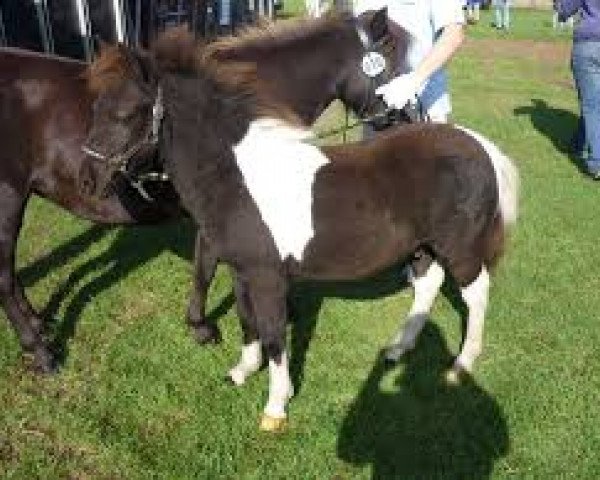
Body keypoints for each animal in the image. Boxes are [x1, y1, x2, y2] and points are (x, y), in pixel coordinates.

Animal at [0, 10, 406, 372]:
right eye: (393, 63)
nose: (403, 118)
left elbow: (208, 267)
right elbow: (205, 270)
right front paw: (201, 327)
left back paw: (38, 323)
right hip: (9, 199)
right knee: (4, 278)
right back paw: (39, 351)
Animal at [85, 25, 520, 432]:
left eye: (124, 114)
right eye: (96, 107)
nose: (88, 181)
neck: (238, 175)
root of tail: (482, 147)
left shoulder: (268, 277)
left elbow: (275, 335)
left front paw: (276, 406)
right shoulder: (242, 270)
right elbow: (247, 320)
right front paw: (242, 371)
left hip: (459, 248)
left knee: (475, 293)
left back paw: (461, 365)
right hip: (422, 246)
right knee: (428, 286)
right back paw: (397, 350)